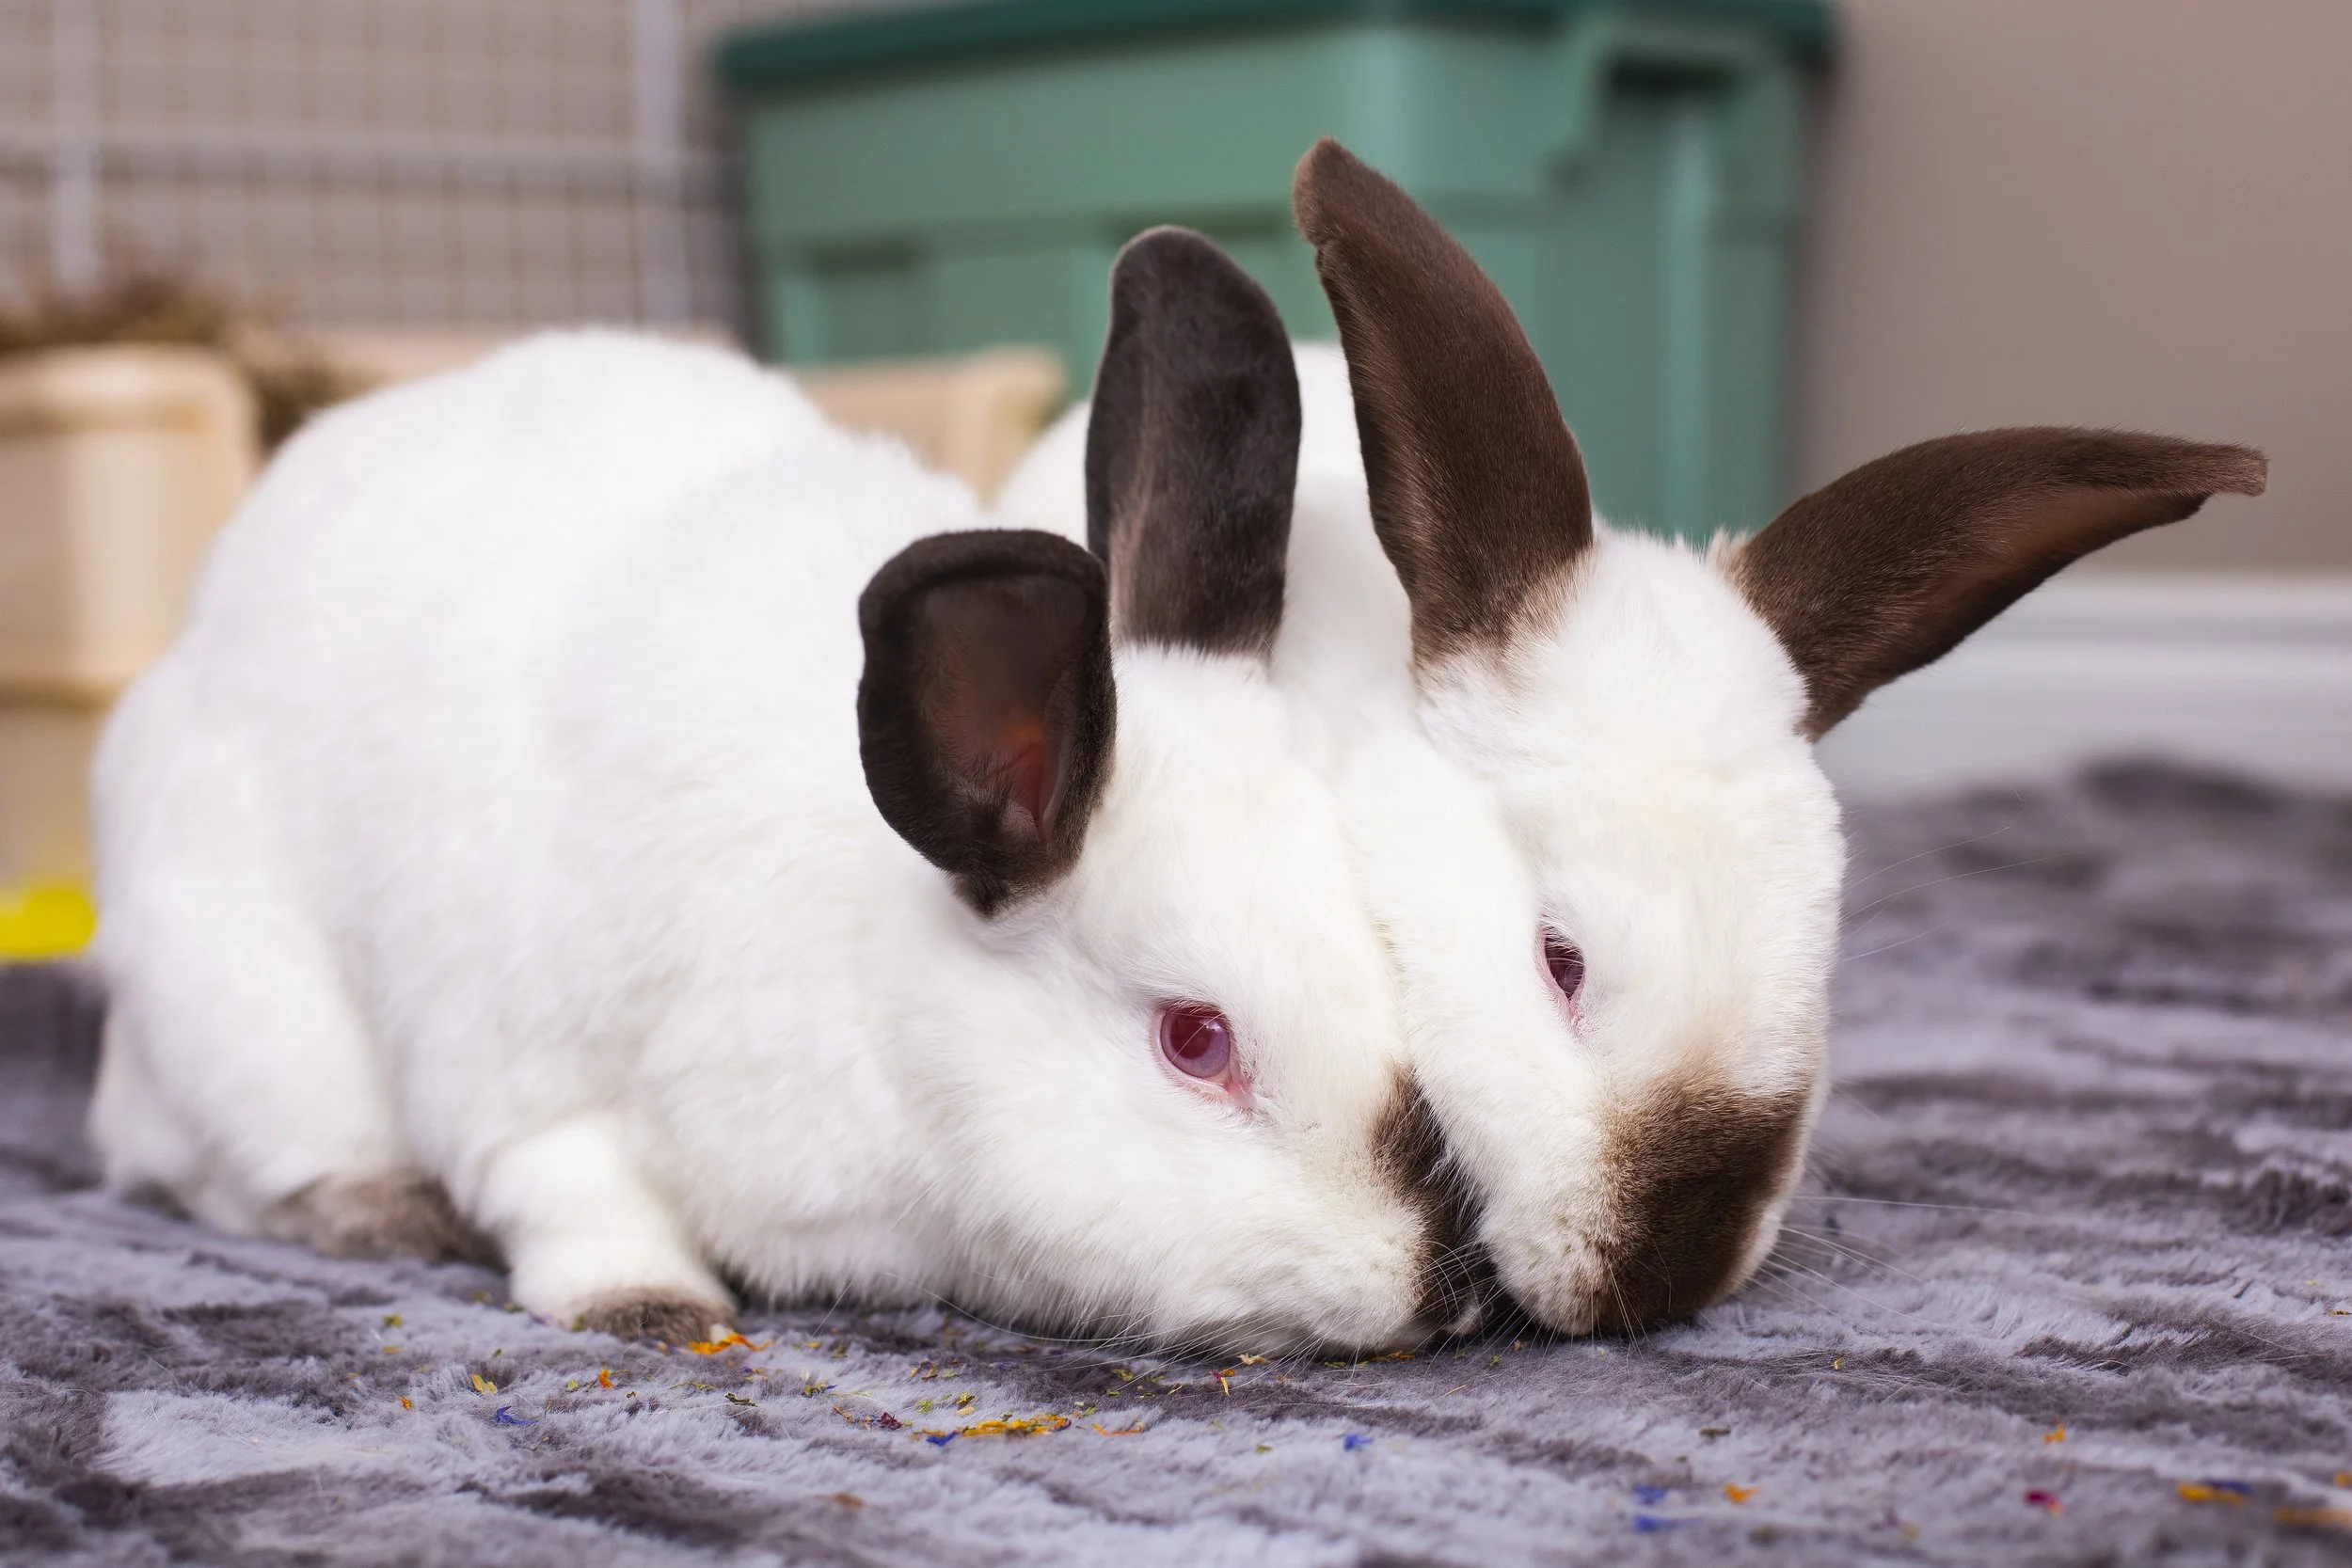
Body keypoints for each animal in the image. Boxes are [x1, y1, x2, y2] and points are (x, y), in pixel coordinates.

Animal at [86, 230, 1493, 1353]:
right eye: (1196, 1038)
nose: (1447, 1288)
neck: (877, 987)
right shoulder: (534, 1083)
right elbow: (578, 1195)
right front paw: (650, 1308)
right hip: (254, 1020)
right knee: (214, 1170)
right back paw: (379, 1209)